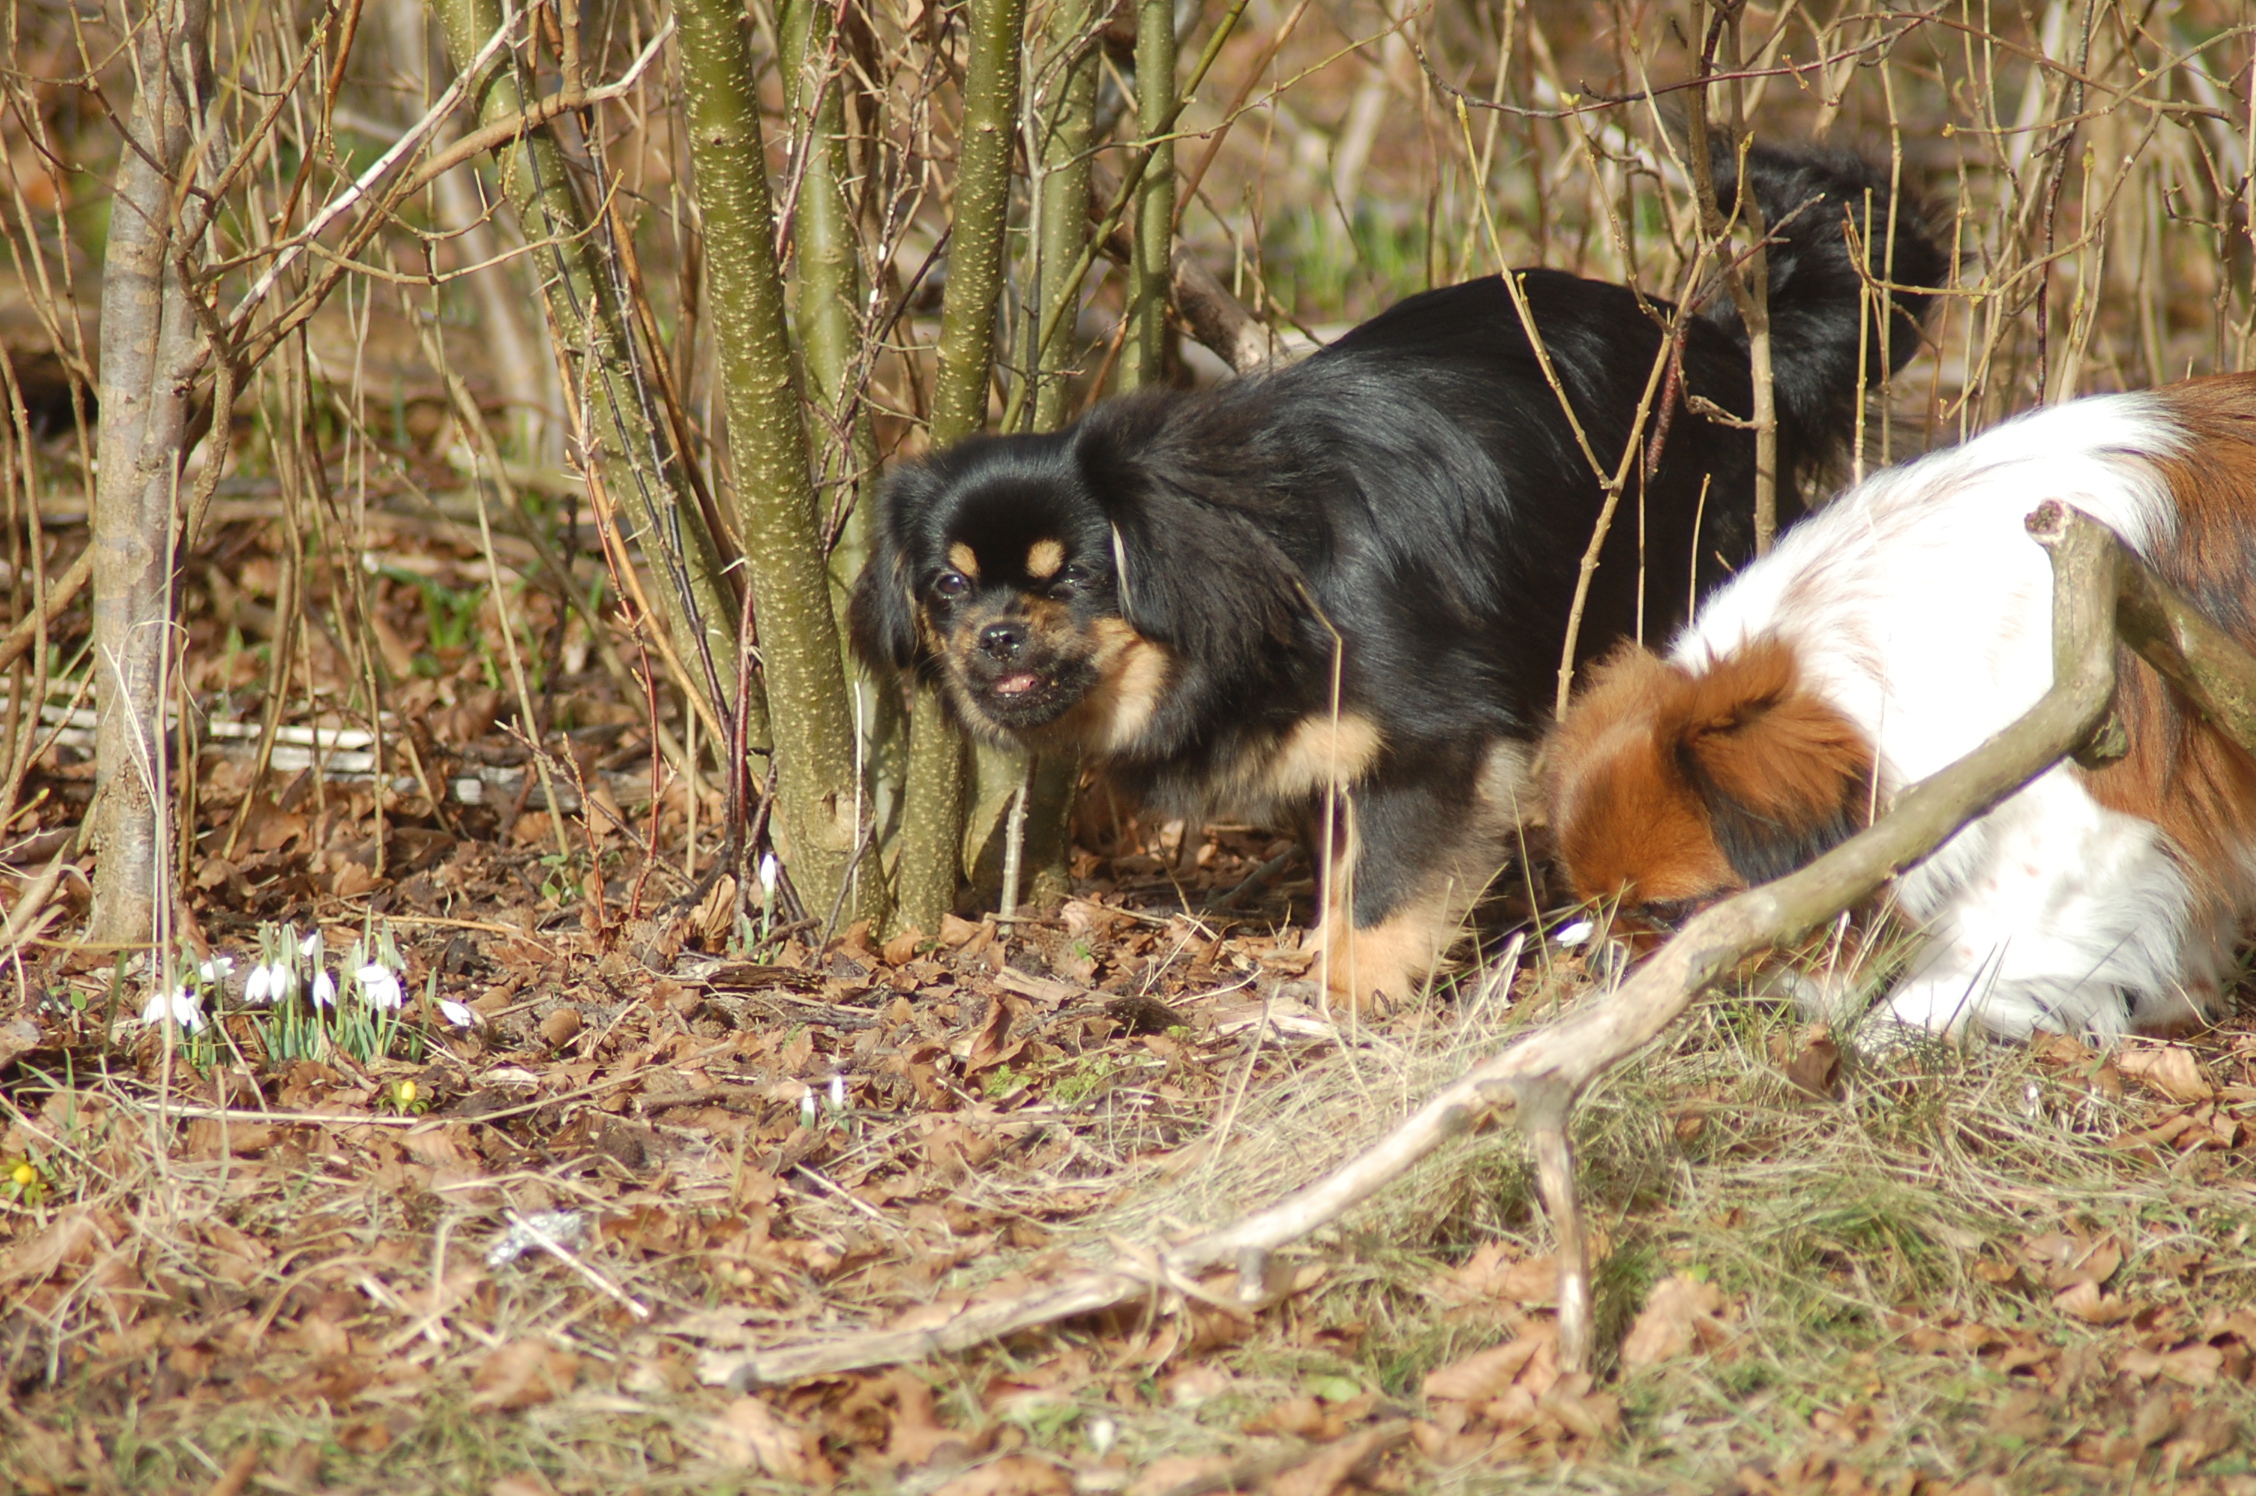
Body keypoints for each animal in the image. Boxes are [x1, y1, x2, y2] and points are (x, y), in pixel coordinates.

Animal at [852, 139, 1941, 1008]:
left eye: (1073, 575)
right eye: (949, 587)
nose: (995, 632)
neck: (1274, 579)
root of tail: (1715, 342)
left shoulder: (1433, 742)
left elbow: (1383, 888)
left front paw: (1350, 995)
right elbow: (1347, 866)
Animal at [1542, 374, 2256, 1040]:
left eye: (1668, 912)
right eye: (1596, 906)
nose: (1605, 965)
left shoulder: (2091, 827)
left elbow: (1972, 943)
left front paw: (1880, 1037)